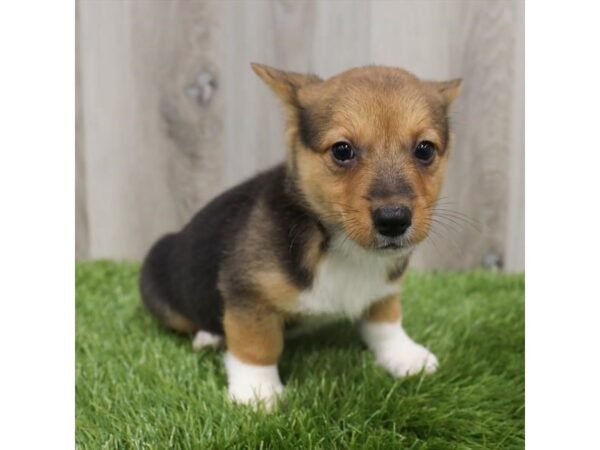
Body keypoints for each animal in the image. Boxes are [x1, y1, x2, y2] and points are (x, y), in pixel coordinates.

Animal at [141, 63, 464, 412]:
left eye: (425, 149)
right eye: (342, 150)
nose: (394, 220)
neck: (341, 246)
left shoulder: (384, 289)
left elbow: (386, 323)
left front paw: (405, 356)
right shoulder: (248, 293)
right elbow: (257, 346)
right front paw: (257, 392)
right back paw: (210, 336)